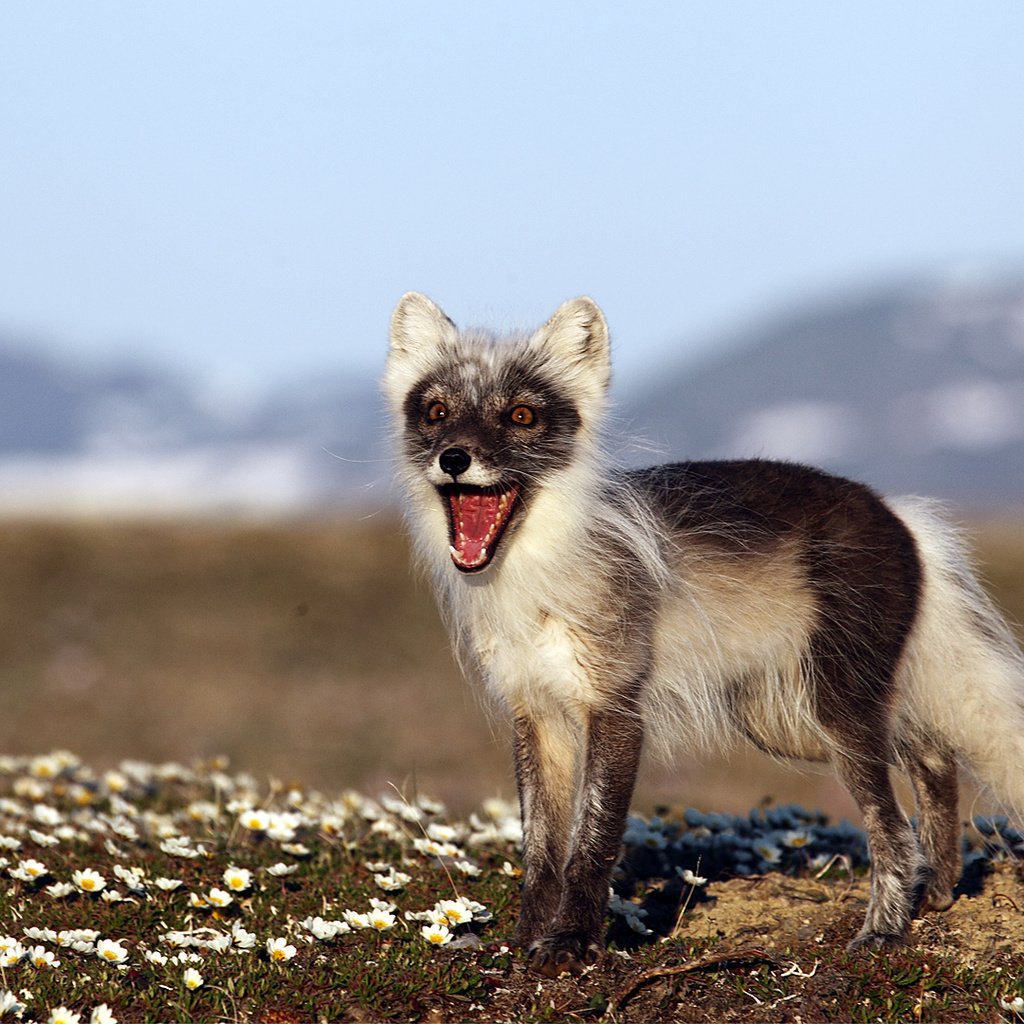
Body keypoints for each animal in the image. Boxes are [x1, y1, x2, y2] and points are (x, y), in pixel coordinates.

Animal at [382, 290, 1024, 974]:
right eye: (437, 412)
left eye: (521, 416)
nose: (453, 459)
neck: (536, 578)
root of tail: (900, 514)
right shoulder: (536, 712)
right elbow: (540, 849)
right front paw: (527, 941)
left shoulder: (614, 705)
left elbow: (593, 839)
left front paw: (573, 944)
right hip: (791, 718)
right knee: (934, 757)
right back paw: (939, 893)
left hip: (834, 707)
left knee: (893, 826)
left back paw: (885, 931)